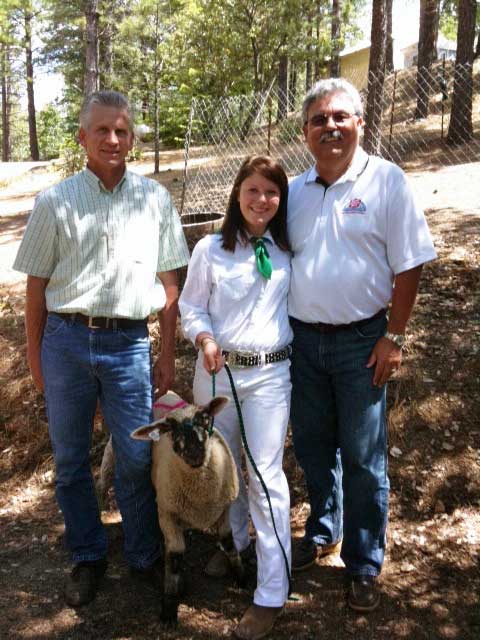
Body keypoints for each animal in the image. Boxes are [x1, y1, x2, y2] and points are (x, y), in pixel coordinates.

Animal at [100, 392, 246, 624]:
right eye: (170, 429)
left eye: (205, 419)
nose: (194, 452)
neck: (200, 492)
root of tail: (164, 396)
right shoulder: (168, 514)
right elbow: (175, 556)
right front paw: (169, 604)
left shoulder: (224, 510)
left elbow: (229, 543)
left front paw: (241, 577)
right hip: (110, 460)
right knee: (99, 487)